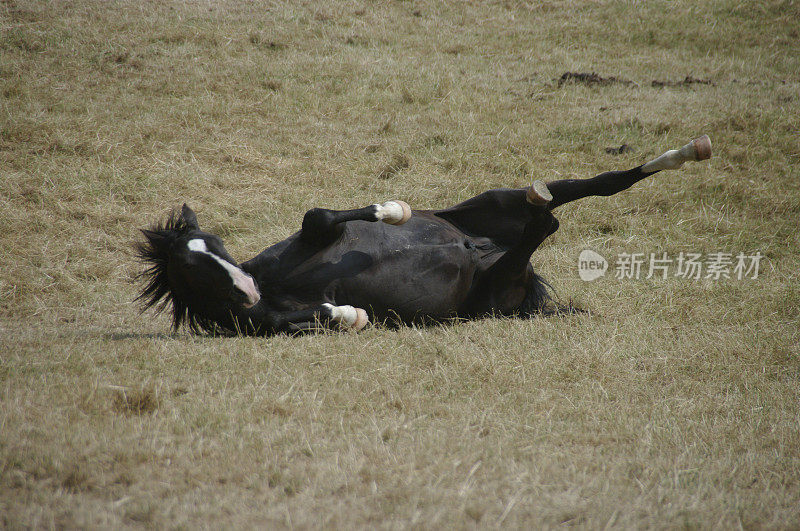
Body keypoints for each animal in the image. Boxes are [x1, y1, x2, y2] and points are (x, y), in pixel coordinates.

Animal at [138, 137, 712, 336]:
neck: (274, 282)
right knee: (547, 222)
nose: (246, 287)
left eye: (215, 245)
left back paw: (687, 152)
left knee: (602, 185)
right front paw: (351, 314)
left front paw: (393, 211)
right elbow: (315, 315)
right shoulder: (266, 321)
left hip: (496, 201)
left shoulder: (311, 238)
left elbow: (319, 216)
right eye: (192, 269)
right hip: (498, 282)